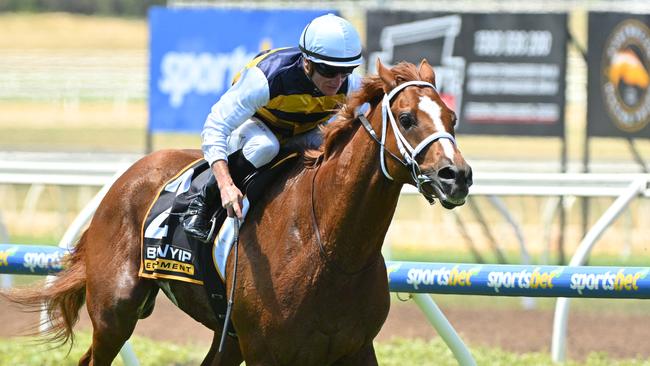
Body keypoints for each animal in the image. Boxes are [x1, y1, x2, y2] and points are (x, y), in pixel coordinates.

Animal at [6, 60, 470, 366]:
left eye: (451, 116)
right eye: (407, 118)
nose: (458, 176)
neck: (330, 249)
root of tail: (127, 177)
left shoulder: (355, 348)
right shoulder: (268, 350)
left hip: (225, 335)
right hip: (115, 313)